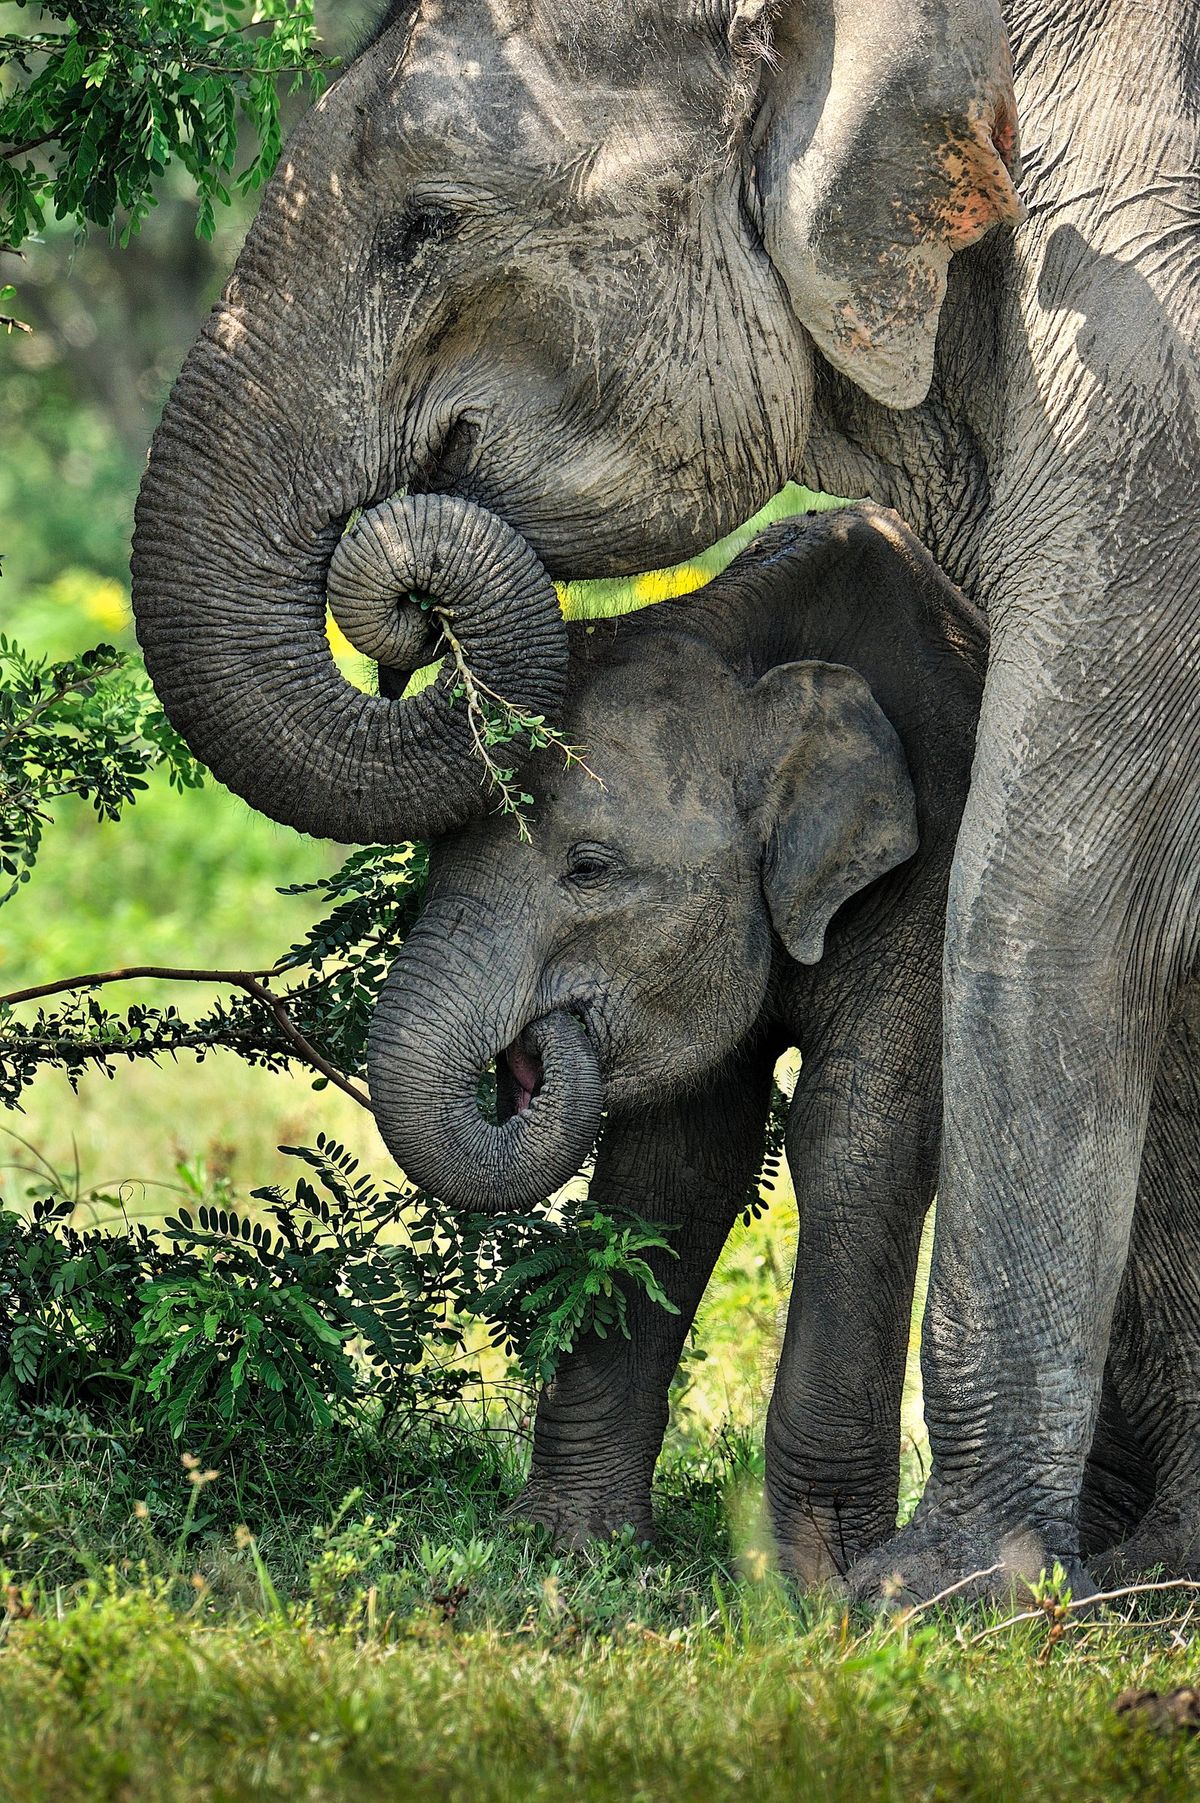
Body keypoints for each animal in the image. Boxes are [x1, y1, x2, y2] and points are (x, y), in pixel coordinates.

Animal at [131, 0, 1200, 1598]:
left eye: (429, 224)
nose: (409, 602)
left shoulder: (1145, 387)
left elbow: (1018, 918)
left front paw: (914, 1599)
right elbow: (675, 1159)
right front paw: (575, 1563)